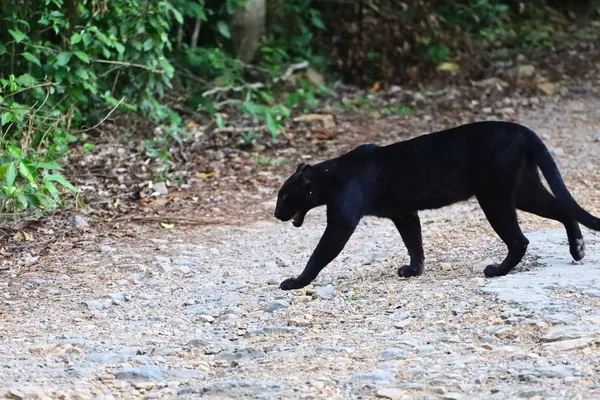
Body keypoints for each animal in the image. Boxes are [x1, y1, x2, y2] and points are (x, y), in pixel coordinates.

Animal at [273, 121, 600, 290]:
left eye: (285, 196)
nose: (276, 213)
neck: (329, 179)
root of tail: (524, 131)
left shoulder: (342, 220)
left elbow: (320, 252)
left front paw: (295, 282)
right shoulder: (403, 213)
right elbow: (414, 241)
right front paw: (413, 270)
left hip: (495, 197)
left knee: (520, 239)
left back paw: (497, 271)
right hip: (523, 190)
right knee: (562, 209)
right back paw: (578, 248)